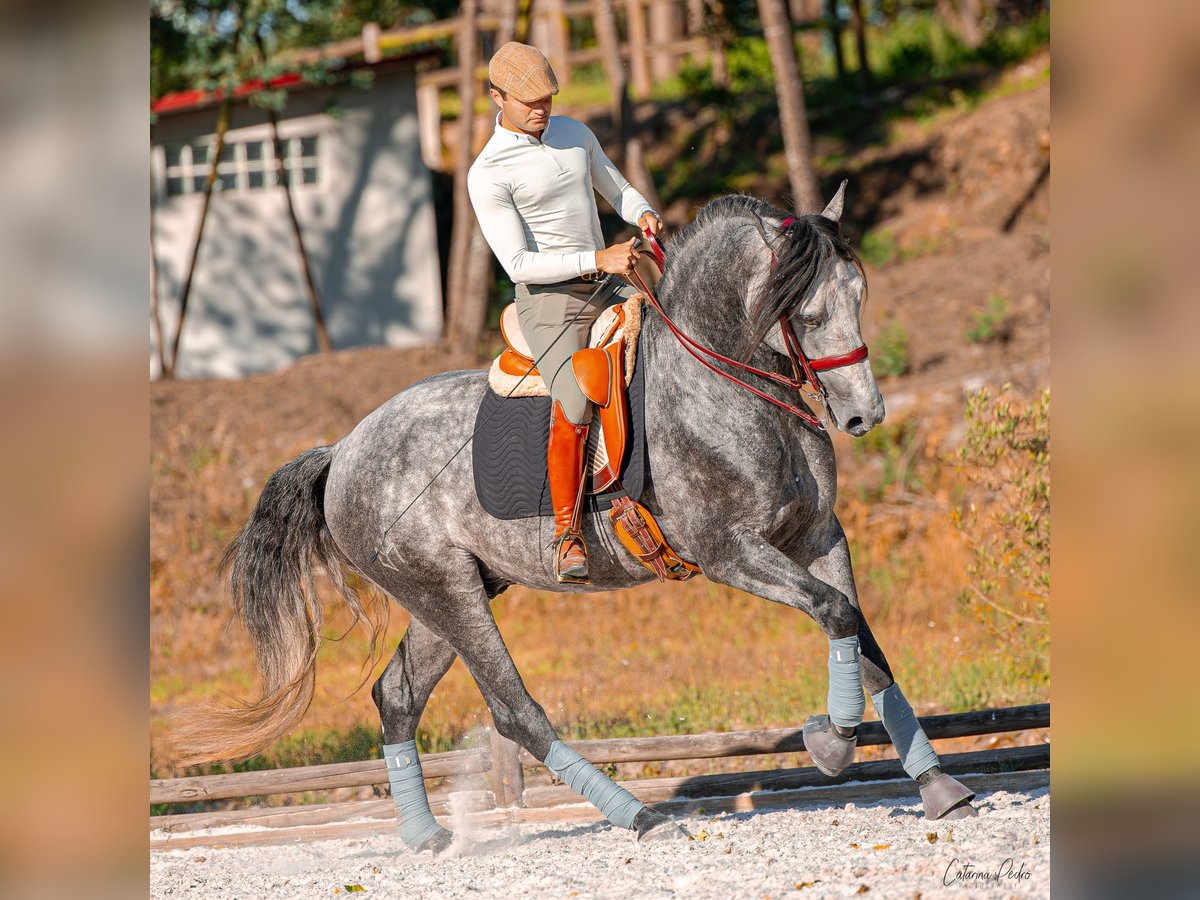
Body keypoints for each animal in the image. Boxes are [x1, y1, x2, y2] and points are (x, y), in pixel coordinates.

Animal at [180, 188, 984, 854]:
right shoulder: (731, 551)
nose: (863, 416)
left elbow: (863, 639)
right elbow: (836, 615)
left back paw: (427, 837)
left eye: (860, 296)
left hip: (445, 595)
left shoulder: (819, 537)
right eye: (808, 314)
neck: (727, 382)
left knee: (398, 697)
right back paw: (639, 816)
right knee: (515, 713)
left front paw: (937, 786)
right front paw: (831, 742)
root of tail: (342, 449)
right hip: (449, 594)